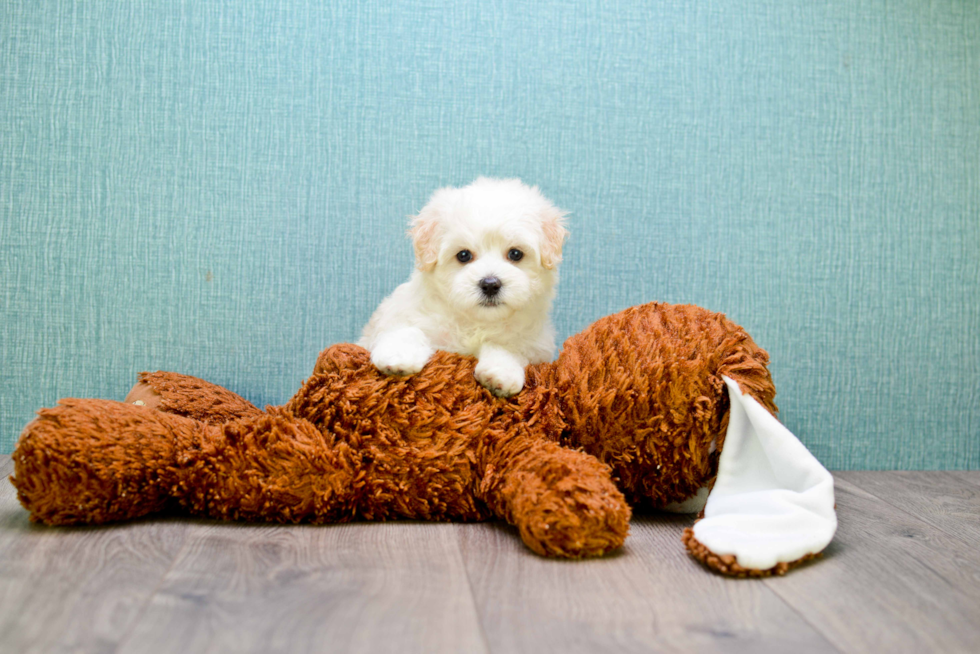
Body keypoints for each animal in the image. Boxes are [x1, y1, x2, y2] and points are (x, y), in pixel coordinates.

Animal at [358, 177, 568, 398]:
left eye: (516, 254)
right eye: (464, 255)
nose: (490, 284)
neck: (475, 322)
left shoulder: (534, 344)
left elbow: (508, 347)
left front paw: (501, 373)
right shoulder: (401, 314)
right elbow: (407, 330)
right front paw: (398, 356)